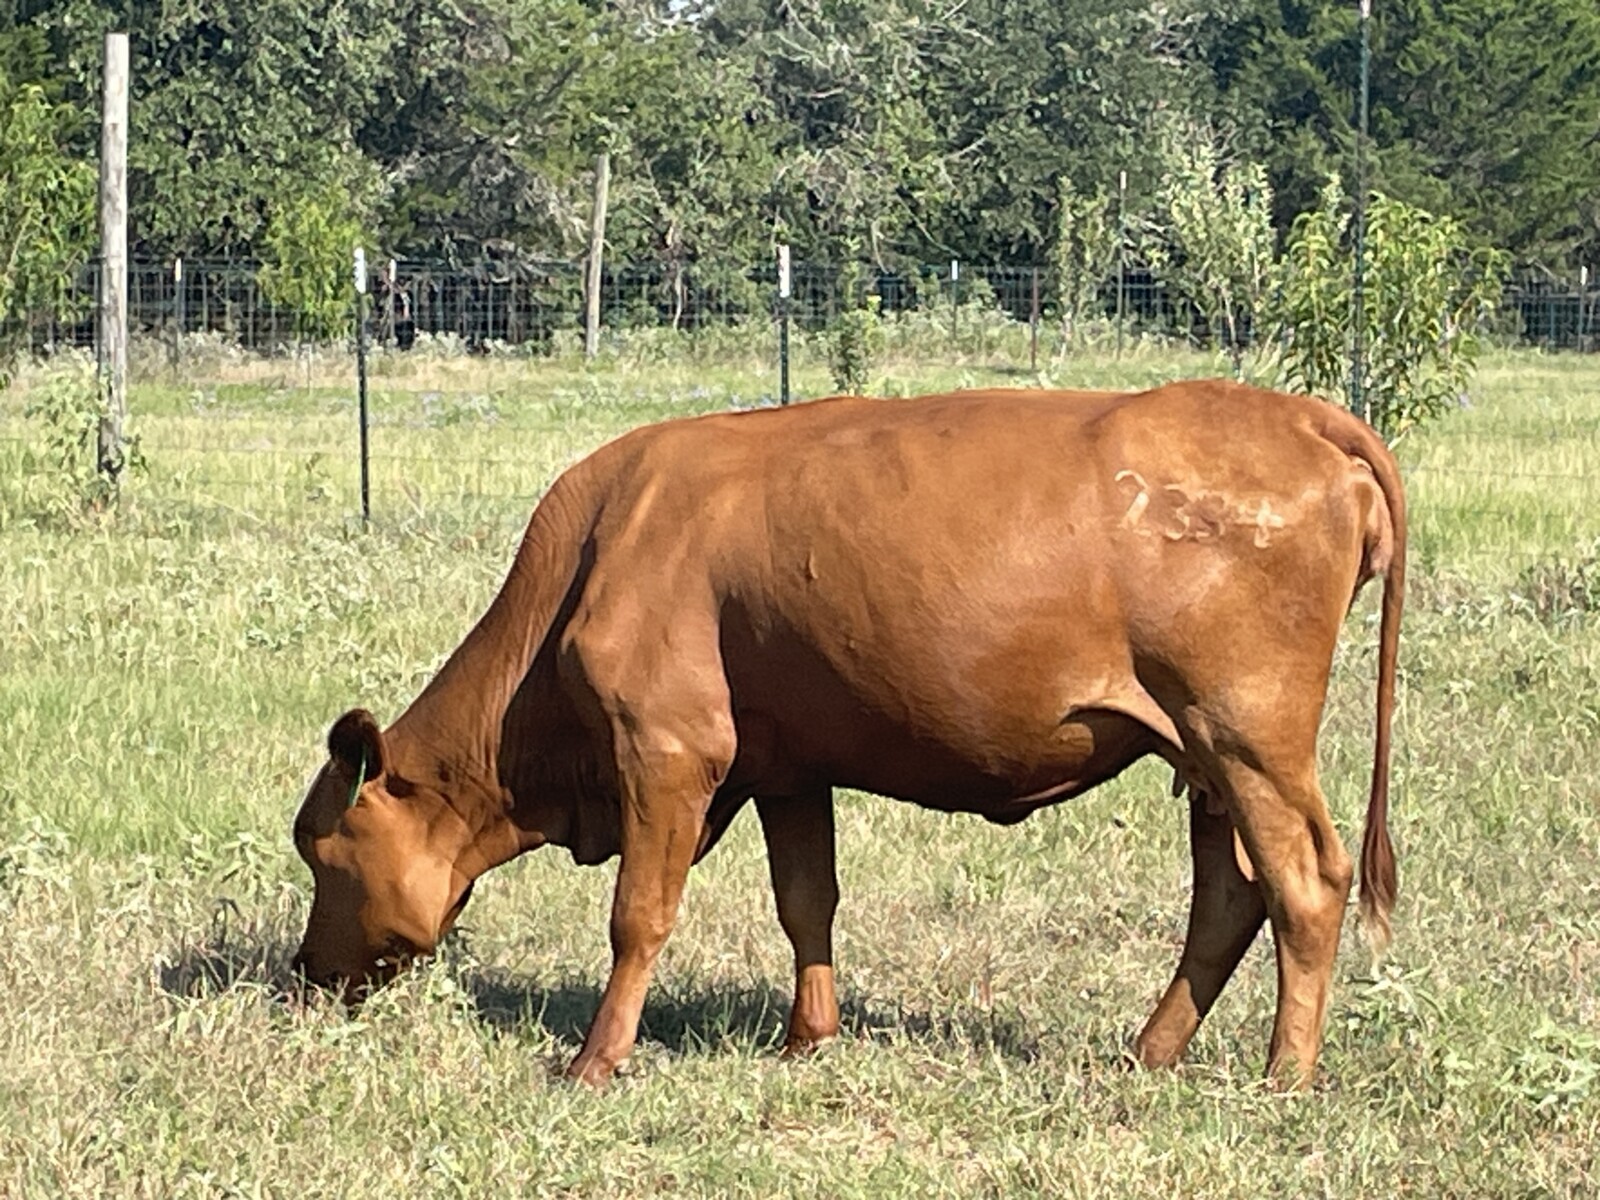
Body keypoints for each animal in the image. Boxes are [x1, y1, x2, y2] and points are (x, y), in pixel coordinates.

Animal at [290, 380, 1405, 1088]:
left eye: (322, 853)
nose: (304, 977)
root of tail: (1297, 413)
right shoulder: (786, 764)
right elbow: (806, 902)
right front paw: (806, 1040)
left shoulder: (668, 750)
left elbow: (638, 915)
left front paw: (595, 1061)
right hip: (1203, 753)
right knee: (1229, 896)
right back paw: (1148, 1053)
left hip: (1248, 734)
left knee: (1304, 883)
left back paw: (1282, 1076)